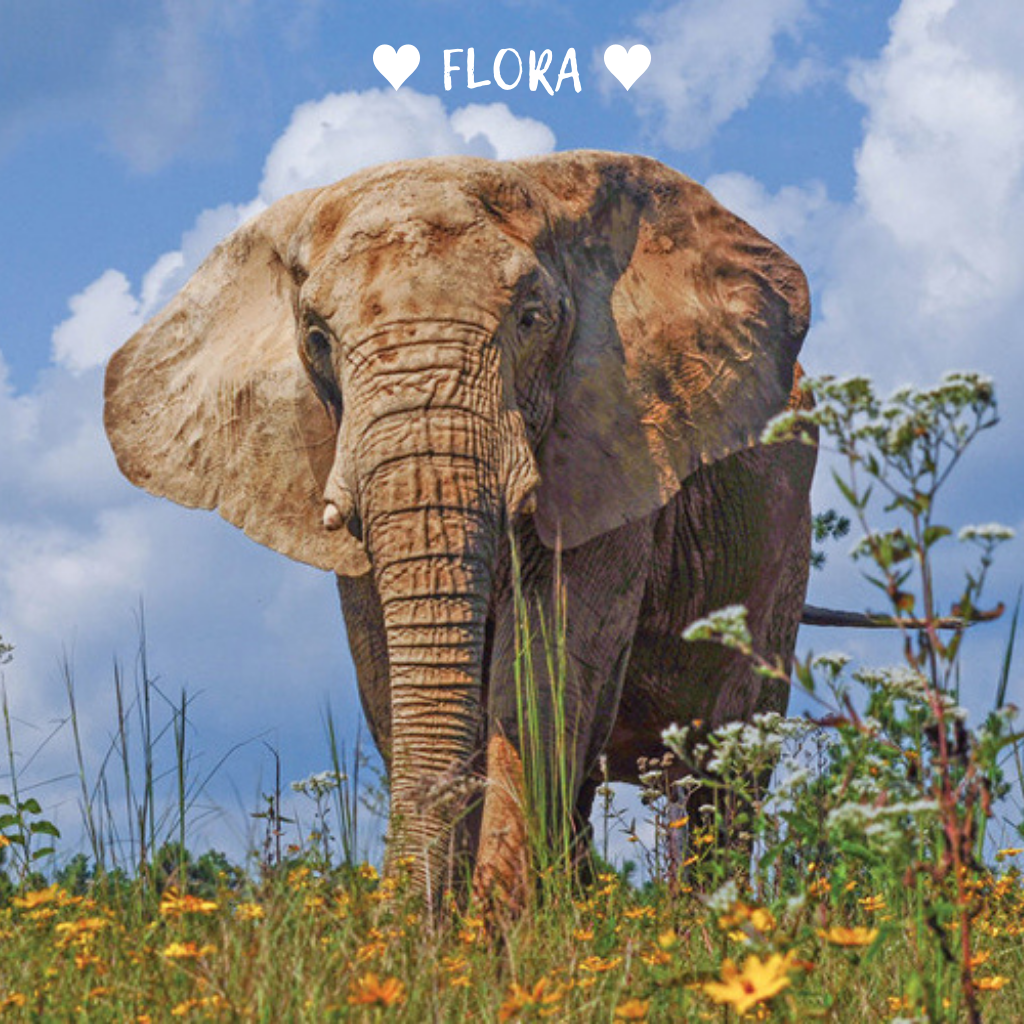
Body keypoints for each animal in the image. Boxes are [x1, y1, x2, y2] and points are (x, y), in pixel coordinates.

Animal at [104, 150, 817, 908]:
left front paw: (490, 927)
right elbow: (388, 673)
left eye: (531, 320)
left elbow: (545, 670)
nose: (397, 917)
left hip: (784, 551)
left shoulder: (616, 437)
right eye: (317, 339)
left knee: (726, 774)